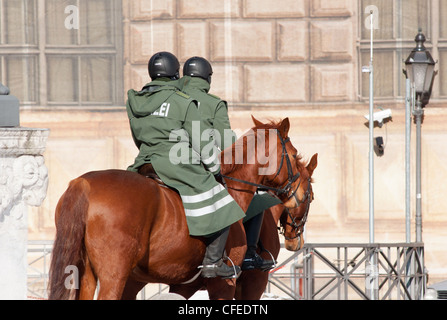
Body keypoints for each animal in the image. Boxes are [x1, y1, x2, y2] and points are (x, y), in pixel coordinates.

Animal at [49, 117, 308, 300]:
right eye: (294, 154)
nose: (297, 195)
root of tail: (83, 183)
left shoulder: (182, 284)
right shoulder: (231, 284)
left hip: (87, 274)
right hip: (114, 274)